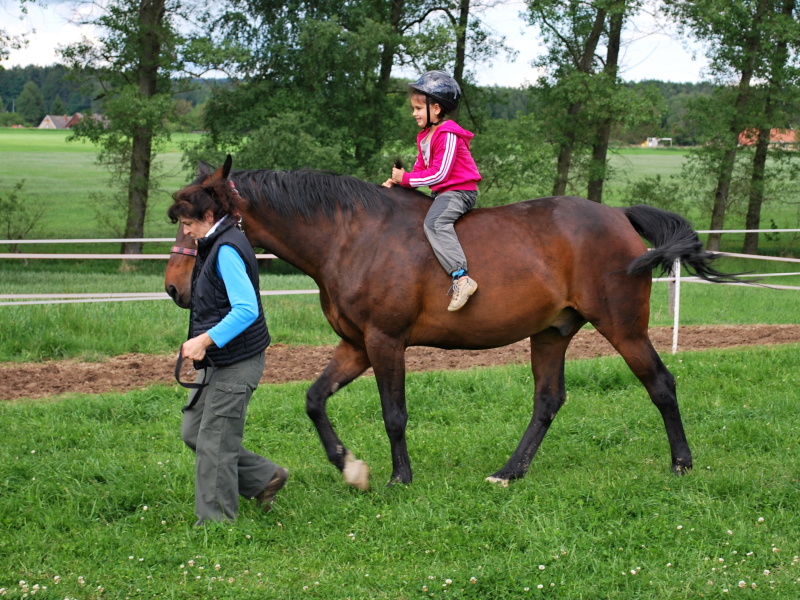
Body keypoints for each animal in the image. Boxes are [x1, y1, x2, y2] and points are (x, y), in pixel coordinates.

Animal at [165, 155, 740, 490]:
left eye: (194, 220)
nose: (173, 288)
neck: (351, 236)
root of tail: (617, 215)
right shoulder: (355, 345)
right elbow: (313, 399)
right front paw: (348, 465)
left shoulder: (385, 343)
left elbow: (394, 414)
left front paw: (399, 477)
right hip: (550, 334)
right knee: (548, 401)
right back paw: (510, 472)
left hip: (624, 329)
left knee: (661, 384)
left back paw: (681, 464)